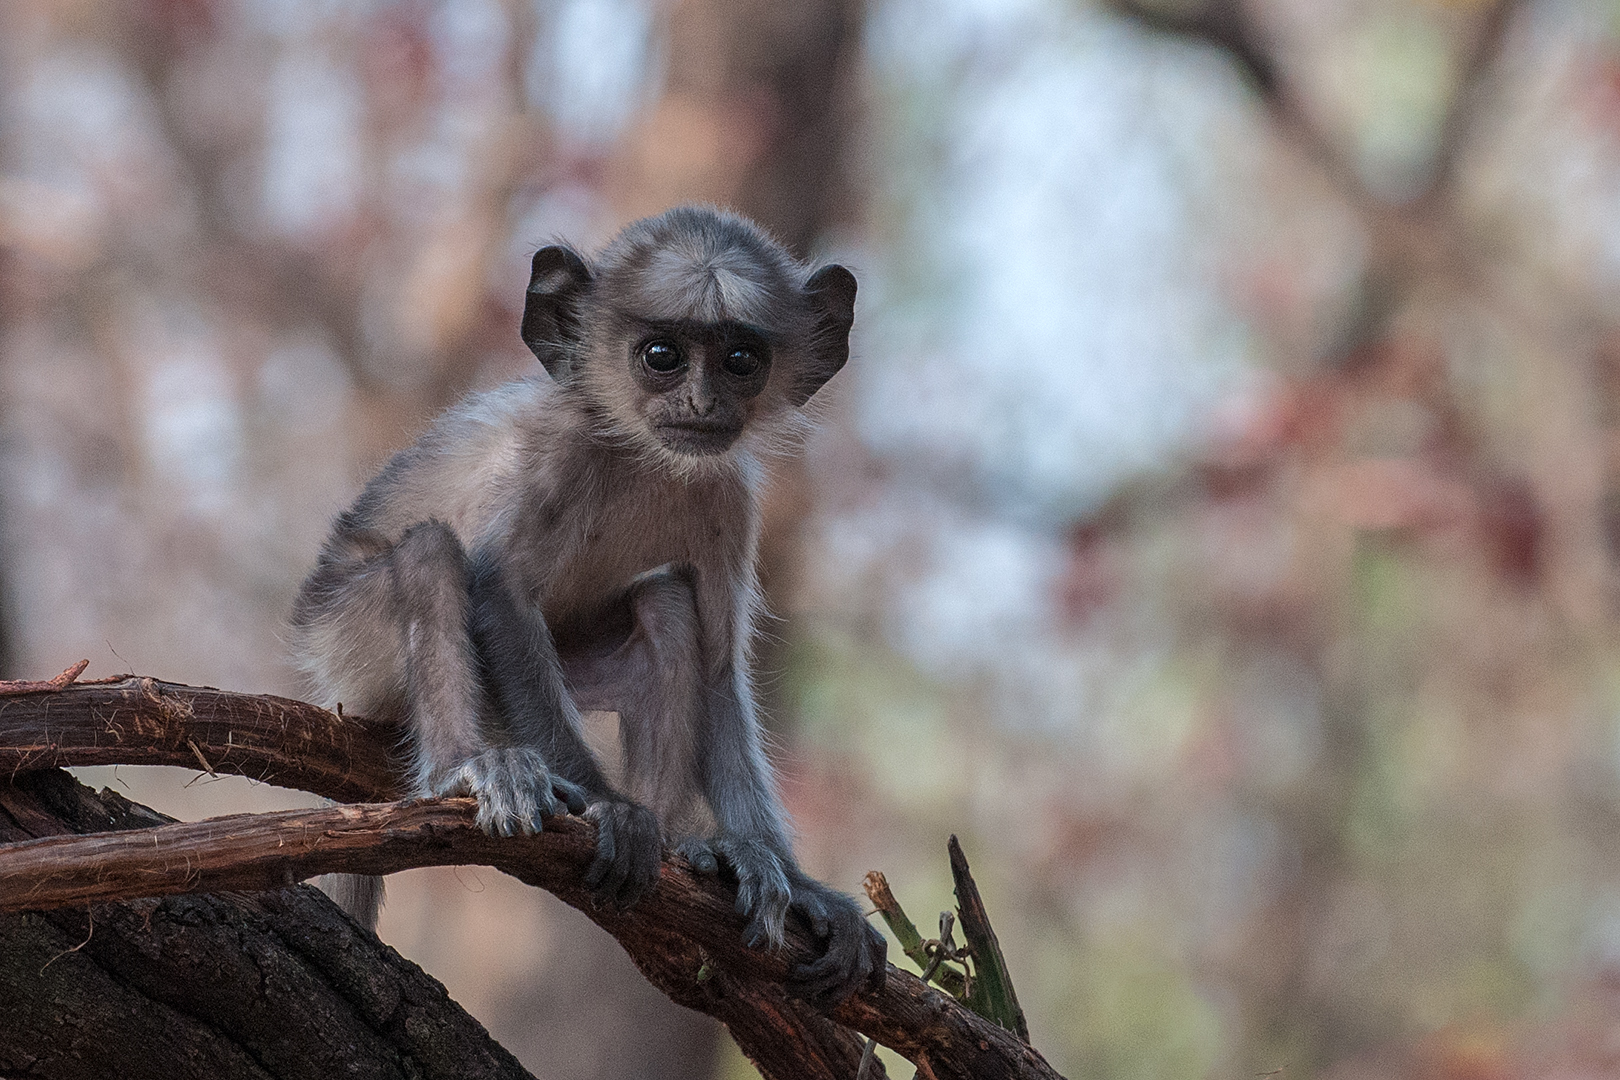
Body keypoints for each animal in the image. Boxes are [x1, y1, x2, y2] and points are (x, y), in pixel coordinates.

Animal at [298, 207, 894, 1010]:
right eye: (662, 355)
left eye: (740, 360)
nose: (702, 403)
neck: (641, 453)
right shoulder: (555, 455)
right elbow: (501, 594)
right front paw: (602, 805)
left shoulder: (728, 495)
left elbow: (716, 670)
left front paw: (793, 882)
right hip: (348, 642)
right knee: (430, 551)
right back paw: (465, 770)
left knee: (666, 605)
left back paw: (687, 847)